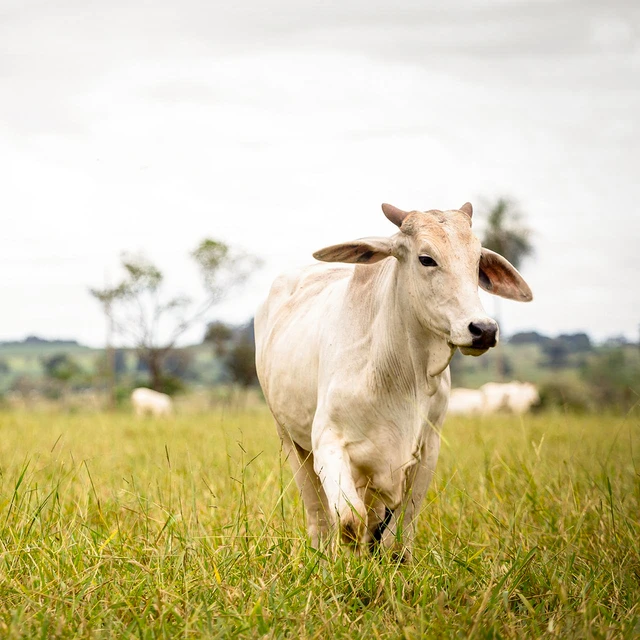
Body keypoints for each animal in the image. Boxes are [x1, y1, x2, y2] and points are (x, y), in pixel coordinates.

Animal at [255, 202, 532, 558]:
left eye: (477, 261)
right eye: (426, 258)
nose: (483, 329)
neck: (400, 374)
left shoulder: (426, 450)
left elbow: (398, 532)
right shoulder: (328, 441)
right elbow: (350, 520)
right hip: (290, 439)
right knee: (319, 517)